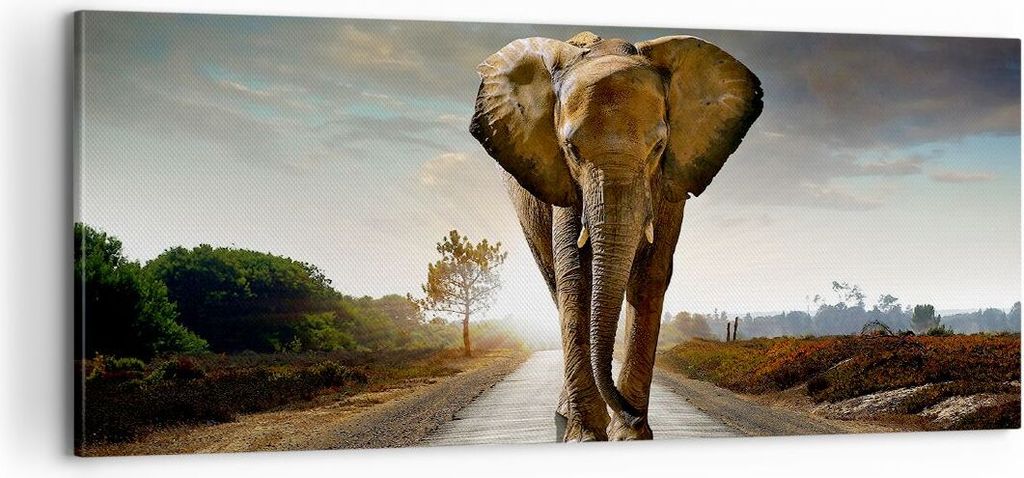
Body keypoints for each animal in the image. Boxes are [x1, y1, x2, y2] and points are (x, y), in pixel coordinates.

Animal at [469, 31, 763, 441]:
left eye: (658, 148)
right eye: (571, 150)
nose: (633, 414)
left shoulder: (670, 183)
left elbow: (650, 276)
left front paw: (630, 436)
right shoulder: (563, 182)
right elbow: (576, 278)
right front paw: (588, 436)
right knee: (555, 283)